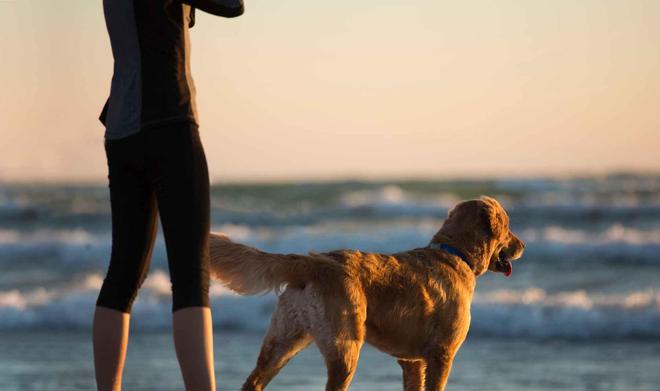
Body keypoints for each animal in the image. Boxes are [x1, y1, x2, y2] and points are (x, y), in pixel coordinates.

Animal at [210, 198, 524, 390]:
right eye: (509, 227)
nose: (522, 245)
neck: (455, 254)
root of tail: (315, 261)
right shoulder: (441, 354)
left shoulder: (412, 361)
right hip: (345, 347)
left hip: (283, 341)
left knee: (254, 381)